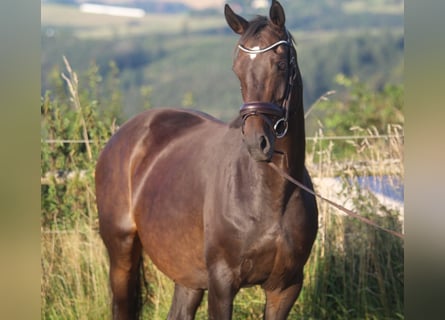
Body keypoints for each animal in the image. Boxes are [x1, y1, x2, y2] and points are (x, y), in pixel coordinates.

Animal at [95, 1, 318, 318]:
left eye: (282, 65)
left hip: (186, 272)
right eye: (237, 69)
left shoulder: (285, 288)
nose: (256, 141)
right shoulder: (222, 284)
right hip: (122, 255)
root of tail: (123, 136)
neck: (271, 195)